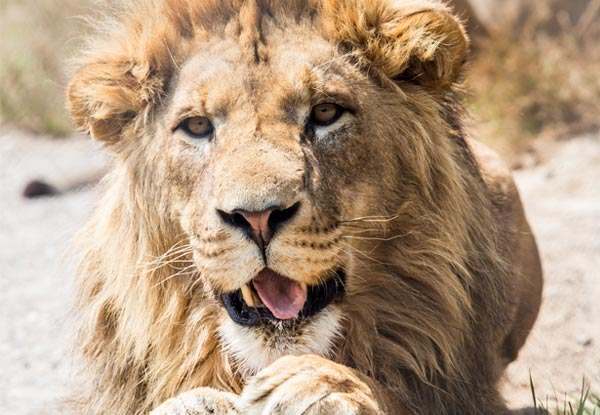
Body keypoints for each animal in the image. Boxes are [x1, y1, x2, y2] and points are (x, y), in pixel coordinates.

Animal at [65, 0, 544, 415]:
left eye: (326, 112)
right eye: (198, 126)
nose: (256, 217)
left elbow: (396, 396)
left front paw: (323, 386)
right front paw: (192, 404)